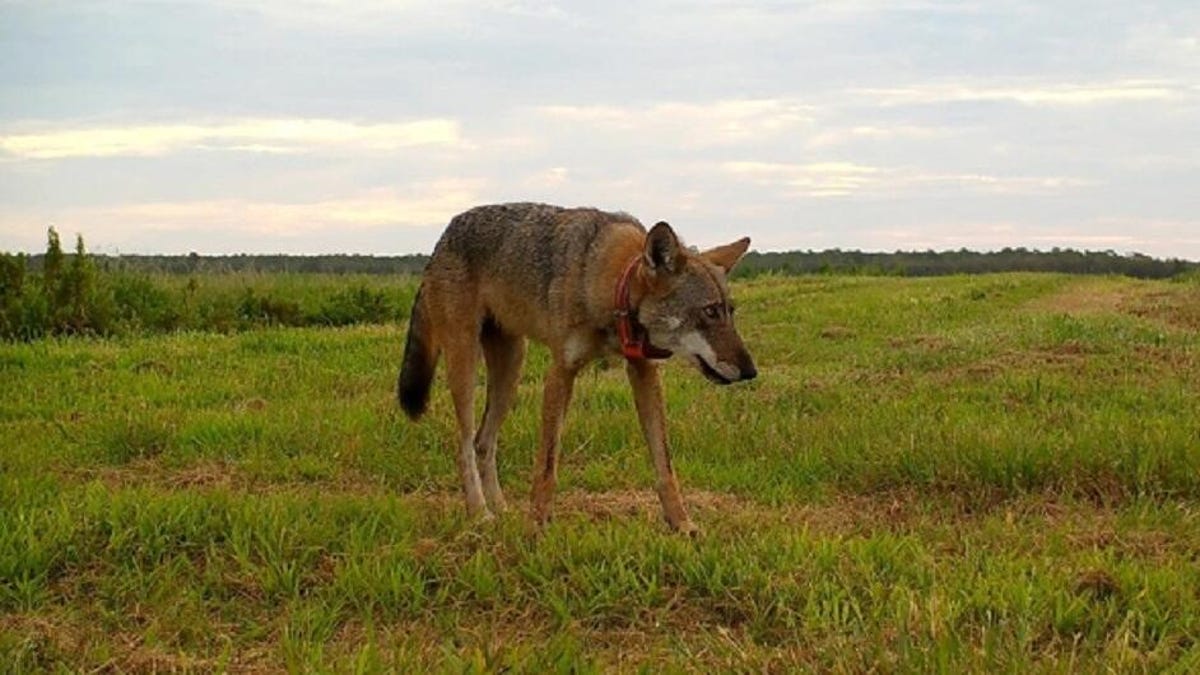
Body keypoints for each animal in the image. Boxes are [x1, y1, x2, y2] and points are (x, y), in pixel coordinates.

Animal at [397, 203, 757, 533]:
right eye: (710, 312)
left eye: (730, 312)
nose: (751, 371)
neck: (610, 286)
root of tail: (444, 235)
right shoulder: (560, 373)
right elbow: (547, 466)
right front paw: (537, 527)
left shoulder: (644, 371)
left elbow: (664, 466)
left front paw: (682, 524)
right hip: (466, 366)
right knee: (464, 447)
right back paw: (479, 514)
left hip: (511, 372)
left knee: (483, 443)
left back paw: (502, 511)